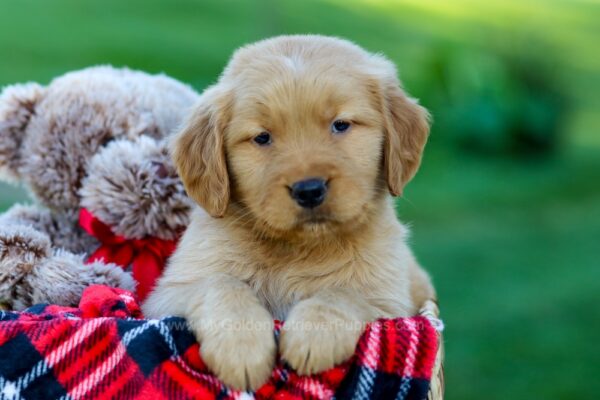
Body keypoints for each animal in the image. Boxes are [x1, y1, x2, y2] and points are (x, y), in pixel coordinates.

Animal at [145, 34, 436, 390]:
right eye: (262, 137)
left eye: (341, 125)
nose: (308, 190)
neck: (298, 249)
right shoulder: (167, 295)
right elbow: (222, 284)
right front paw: (241, 349)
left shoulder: (391, 303)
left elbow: (344, 293)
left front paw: (312, 337)